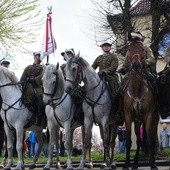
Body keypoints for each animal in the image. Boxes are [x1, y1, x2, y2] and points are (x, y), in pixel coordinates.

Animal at [121, 40, 159, 169]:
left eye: (142, 49)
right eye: (129, 49)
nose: (136, 66)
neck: (137, 89)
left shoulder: (149, 116)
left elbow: (149, 141)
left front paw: (152, 164)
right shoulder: (128, 116)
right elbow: (128, 141)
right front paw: (127, 163)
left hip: (153, 120)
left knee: (152, 139)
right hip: (137, 122)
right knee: (138, 140)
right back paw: (135, 163)